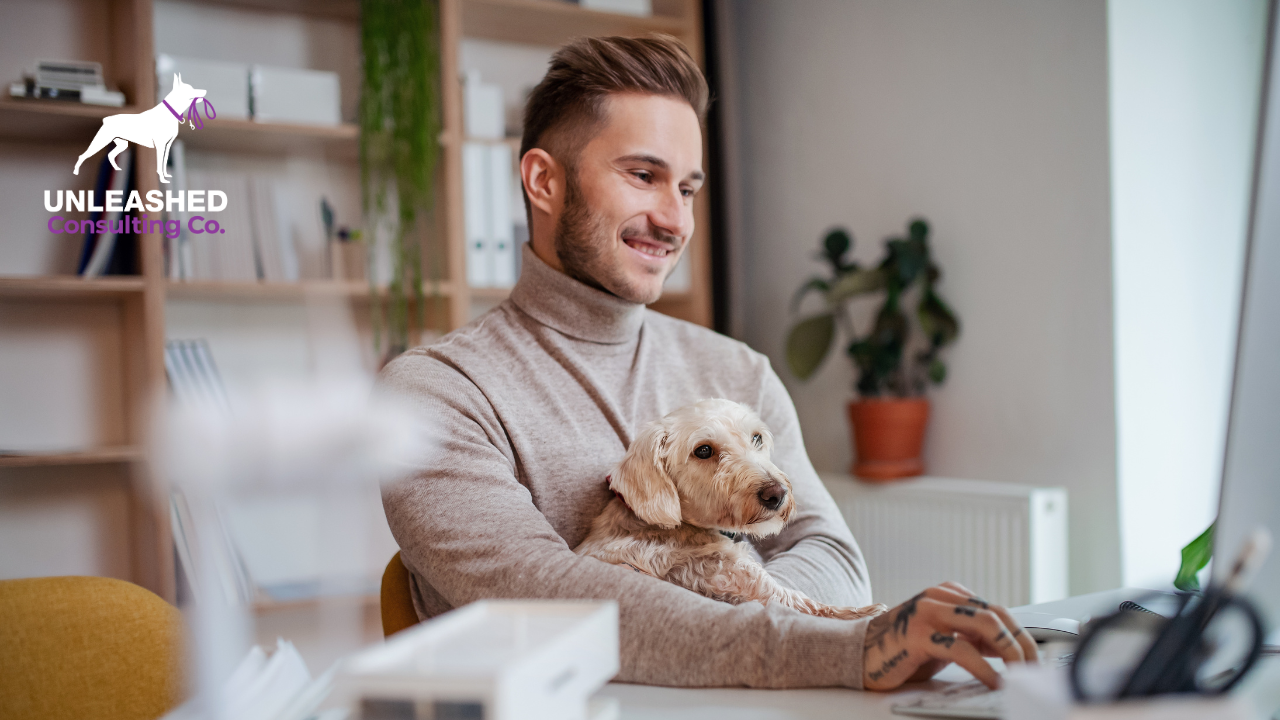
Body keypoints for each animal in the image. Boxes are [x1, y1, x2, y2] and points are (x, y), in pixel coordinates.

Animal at [72, 73, 204, 183]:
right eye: (190, 89)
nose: (204, 91)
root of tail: (106, 119)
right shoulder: (160, 145)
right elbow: (159, 165)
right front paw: (162, 178)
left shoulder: (168, 145)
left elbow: (164, 163)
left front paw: (166, 176)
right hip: (100, 141)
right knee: (83, 156)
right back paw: (76, 171)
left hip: (122, 144)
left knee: (110, 155)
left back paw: (117, 169)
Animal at [576, 394, 885, 620]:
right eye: (703, 450)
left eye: (756, 437)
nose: (777, 494)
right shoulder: (744, 578)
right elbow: (805, 603)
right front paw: (865, 613)